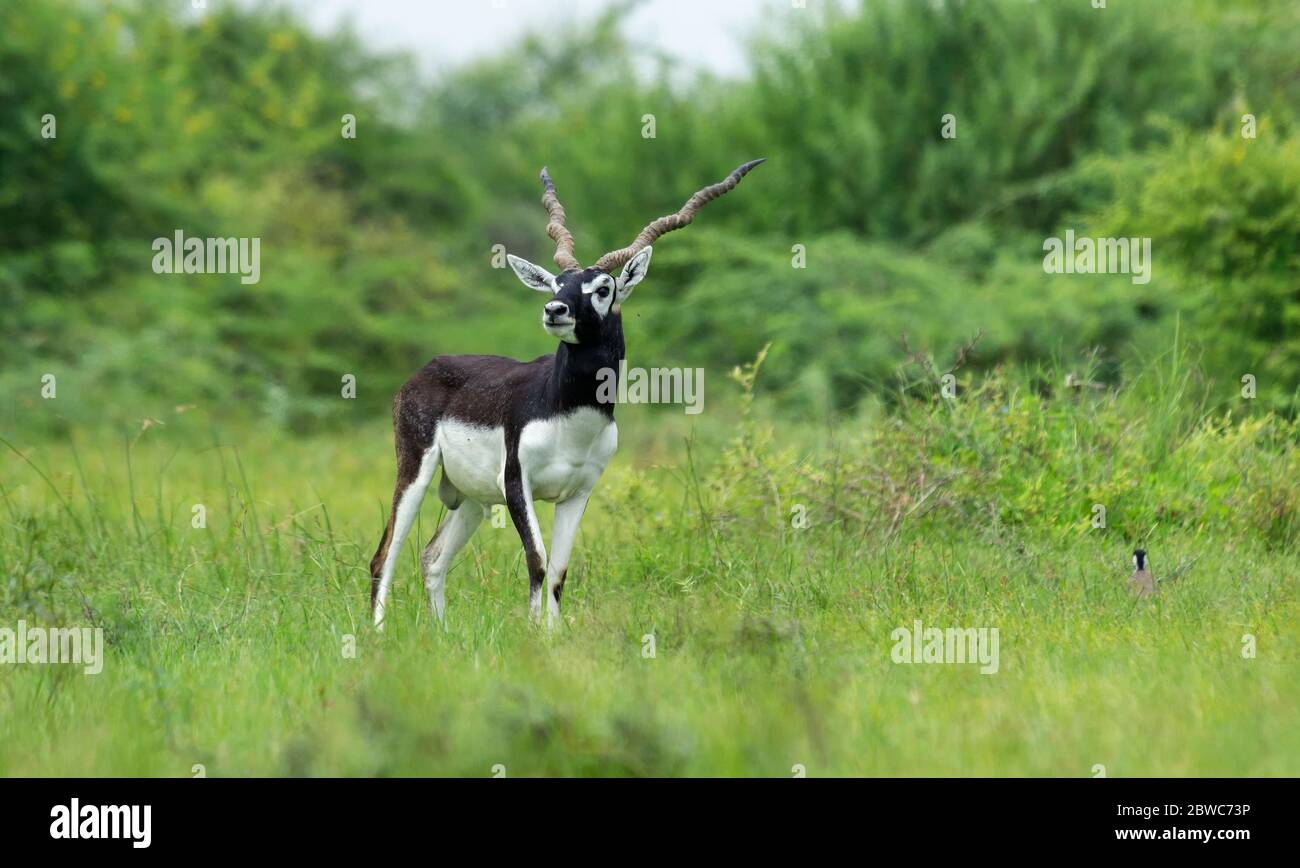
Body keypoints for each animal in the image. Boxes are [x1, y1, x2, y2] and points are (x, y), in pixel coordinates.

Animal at [369, 159, 759, 626]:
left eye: (604, 288)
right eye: (558, 283)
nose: (555, 310)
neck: (569, 416)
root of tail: (426, 368)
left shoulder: (579, 493)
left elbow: (557, 573)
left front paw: (551, 636)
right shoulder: (516, 483)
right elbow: (537, 563)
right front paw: (535, 635)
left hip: (472, 498)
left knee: (432, 557)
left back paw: (441, 634)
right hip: (417, 470)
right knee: (384, 556)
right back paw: (376, 635)